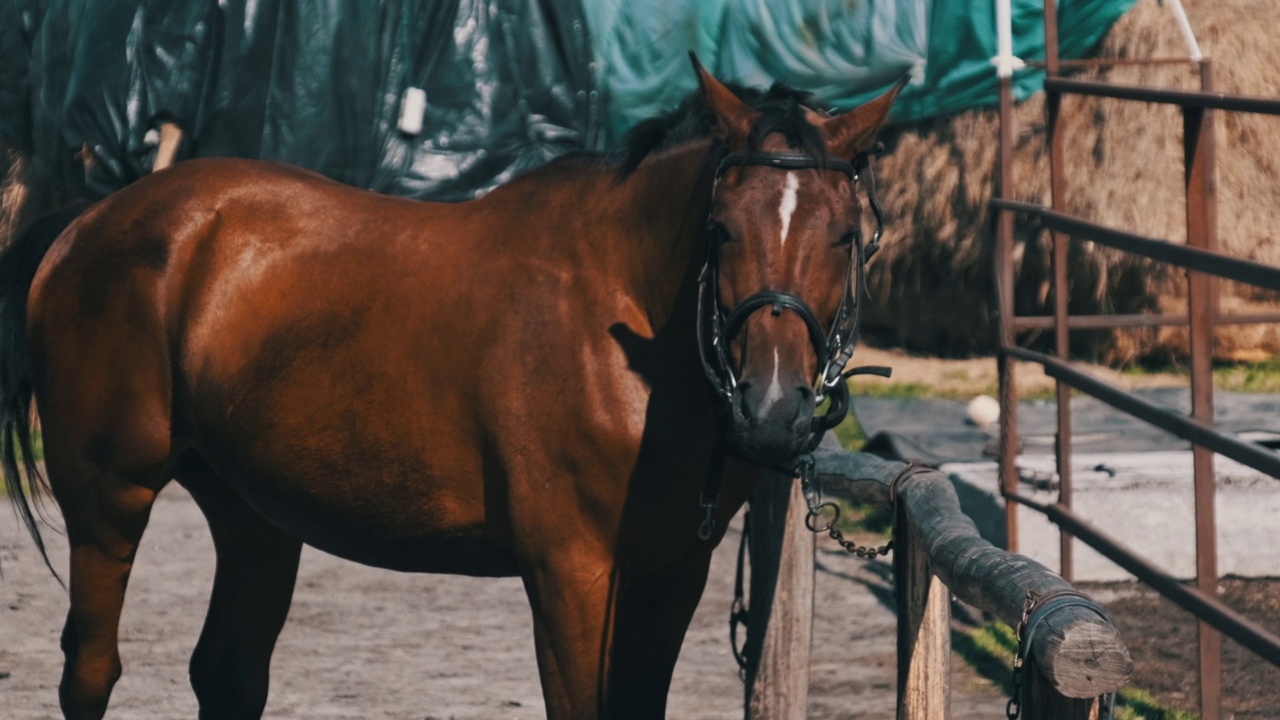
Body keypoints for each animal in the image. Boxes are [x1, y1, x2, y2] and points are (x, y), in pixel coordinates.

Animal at [0, 61, 901, 717]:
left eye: (846, 234)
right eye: (721, 229)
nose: (772, 410)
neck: (622, 326)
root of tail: (88, 221)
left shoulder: (672, 574)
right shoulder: (571, 573)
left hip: (252, 515)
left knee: (227, 672)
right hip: (109, 501)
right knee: (90, 671)